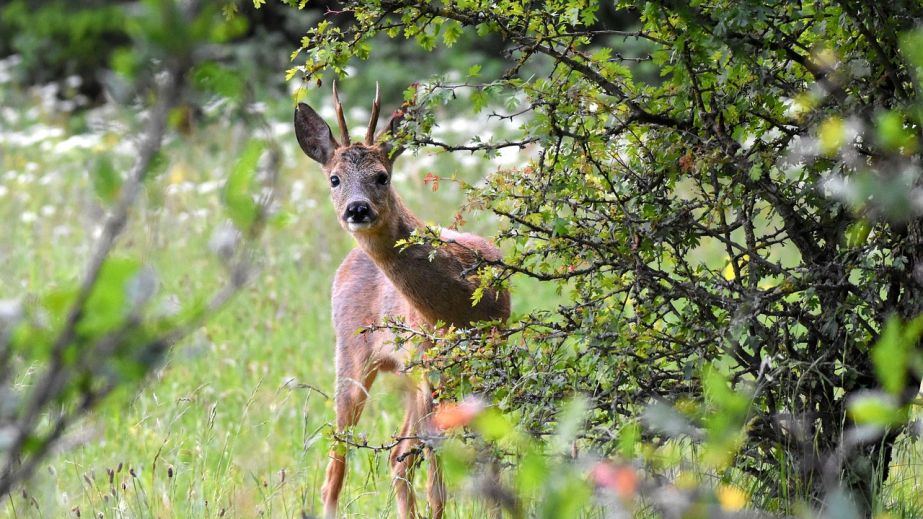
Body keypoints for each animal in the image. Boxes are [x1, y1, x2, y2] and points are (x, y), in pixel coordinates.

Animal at [293, 83, 511, 519]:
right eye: (334, 179)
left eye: (382, 176)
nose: (357, 209)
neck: (460, 305)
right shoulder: (431, 366)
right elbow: (436, 479)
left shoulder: (489, 355)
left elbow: (489, 457)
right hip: (353, 355)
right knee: (339, 464)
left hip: (411, 374)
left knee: (399, 456)